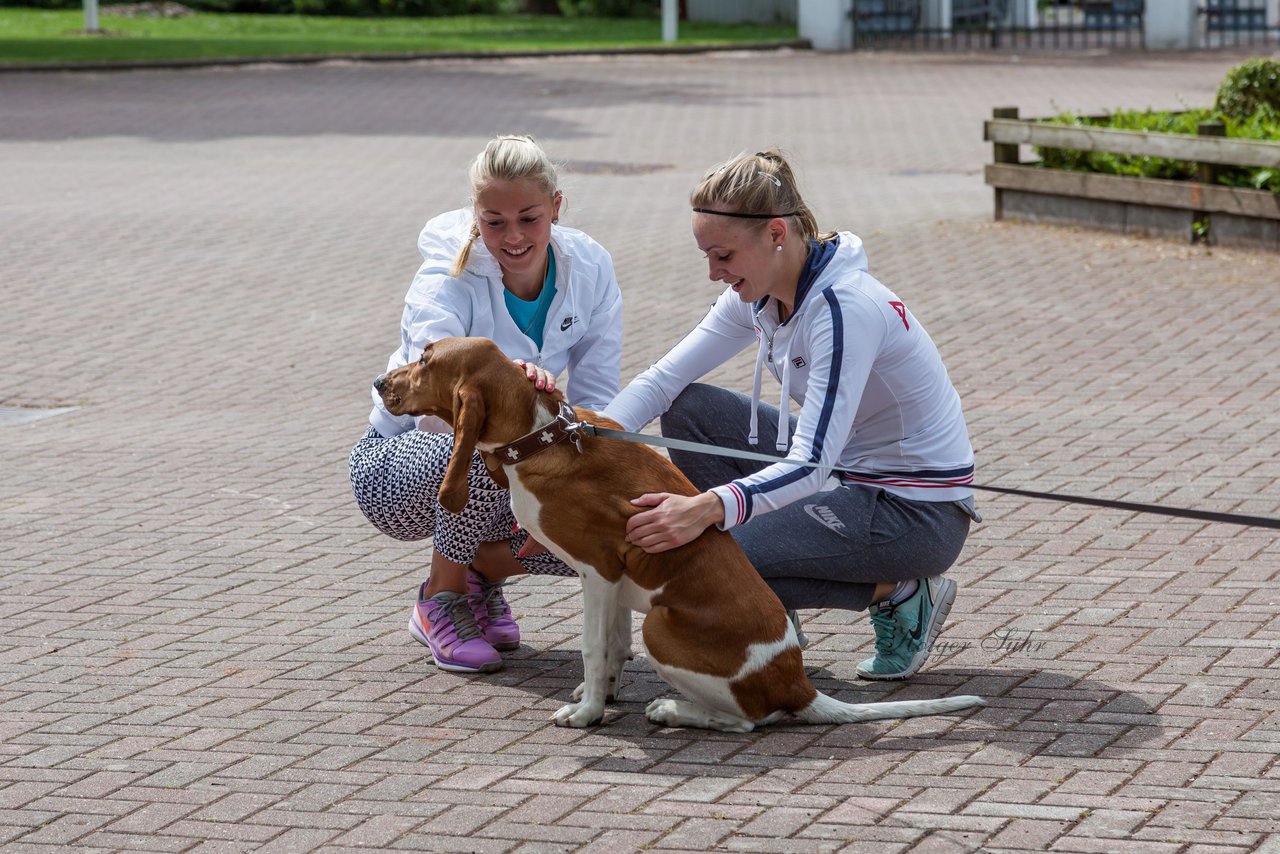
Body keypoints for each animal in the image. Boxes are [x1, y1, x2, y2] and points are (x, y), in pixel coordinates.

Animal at [373, 338, 983, 732]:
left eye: (426, 360)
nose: (379, 383)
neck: (542, 436)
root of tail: (799, 685)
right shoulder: (614, 583)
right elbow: (613, 645)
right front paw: (602, 695)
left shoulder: (598, 571)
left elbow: (595, 646)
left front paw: (588, 714)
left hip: (664, 628)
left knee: (751, 722)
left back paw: (675, 710)